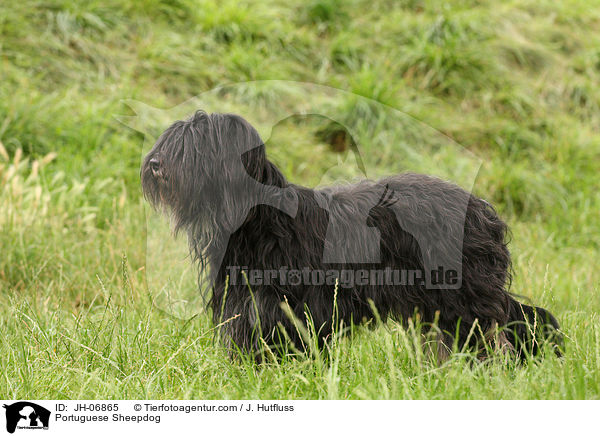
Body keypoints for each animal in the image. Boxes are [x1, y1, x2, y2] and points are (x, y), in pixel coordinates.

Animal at [141, 110, 564, 362]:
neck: (260, 220)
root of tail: (480, 207)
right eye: (170, 142)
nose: (154, 164)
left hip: (464, 295)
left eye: (194, 148)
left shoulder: (294, 306)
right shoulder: (246, 303)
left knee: (503, 329)